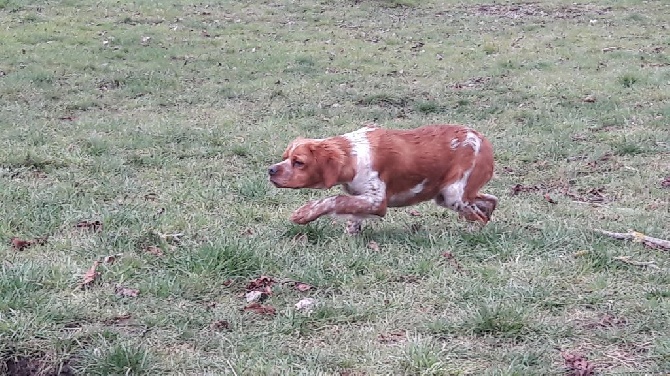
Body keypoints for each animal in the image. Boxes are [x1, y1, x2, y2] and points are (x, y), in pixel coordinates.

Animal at [270, 125, 498, 234]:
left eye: (298, 162)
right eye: (285, 157)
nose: (270, 170)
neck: (353, 156)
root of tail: (483, 140)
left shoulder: (378, 200)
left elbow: (335, 199)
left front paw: (304, 213)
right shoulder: (362, 198)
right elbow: (352, 212)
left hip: (453, 194)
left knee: (477, 216)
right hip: (447, 195)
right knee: (489, 201)